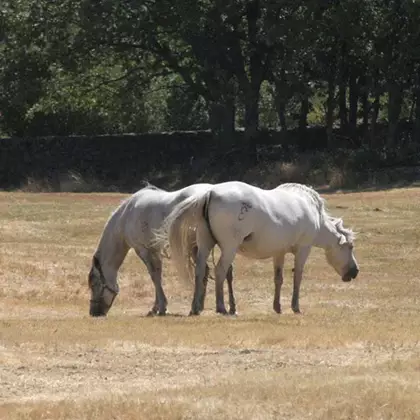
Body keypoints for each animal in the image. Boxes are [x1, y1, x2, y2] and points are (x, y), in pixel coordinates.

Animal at [88, 182, 236, 316]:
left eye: (94, 284)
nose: (94, 313)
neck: (126, 216)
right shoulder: (155, 251)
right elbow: (158, 274)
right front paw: (157, 307)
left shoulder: (143, 250)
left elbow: (154, 276)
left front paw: (160, 308)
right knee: (222, 270)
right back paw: (222, 307)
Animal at [158, 180, 358, 316]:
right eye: (350, 246)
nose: (355, 271)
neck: (312, 210)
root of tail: (210, 193)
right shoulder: (303, 249)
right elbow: (298, 277)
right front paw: (295, 306)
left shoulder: (279, 252)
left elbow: (278, 278)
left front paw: (277, 306)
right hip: (229, 248)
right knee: (220, 270)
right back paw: (221, 307)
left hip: (205, 244)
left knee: (200, 271)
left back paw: (195, 307)